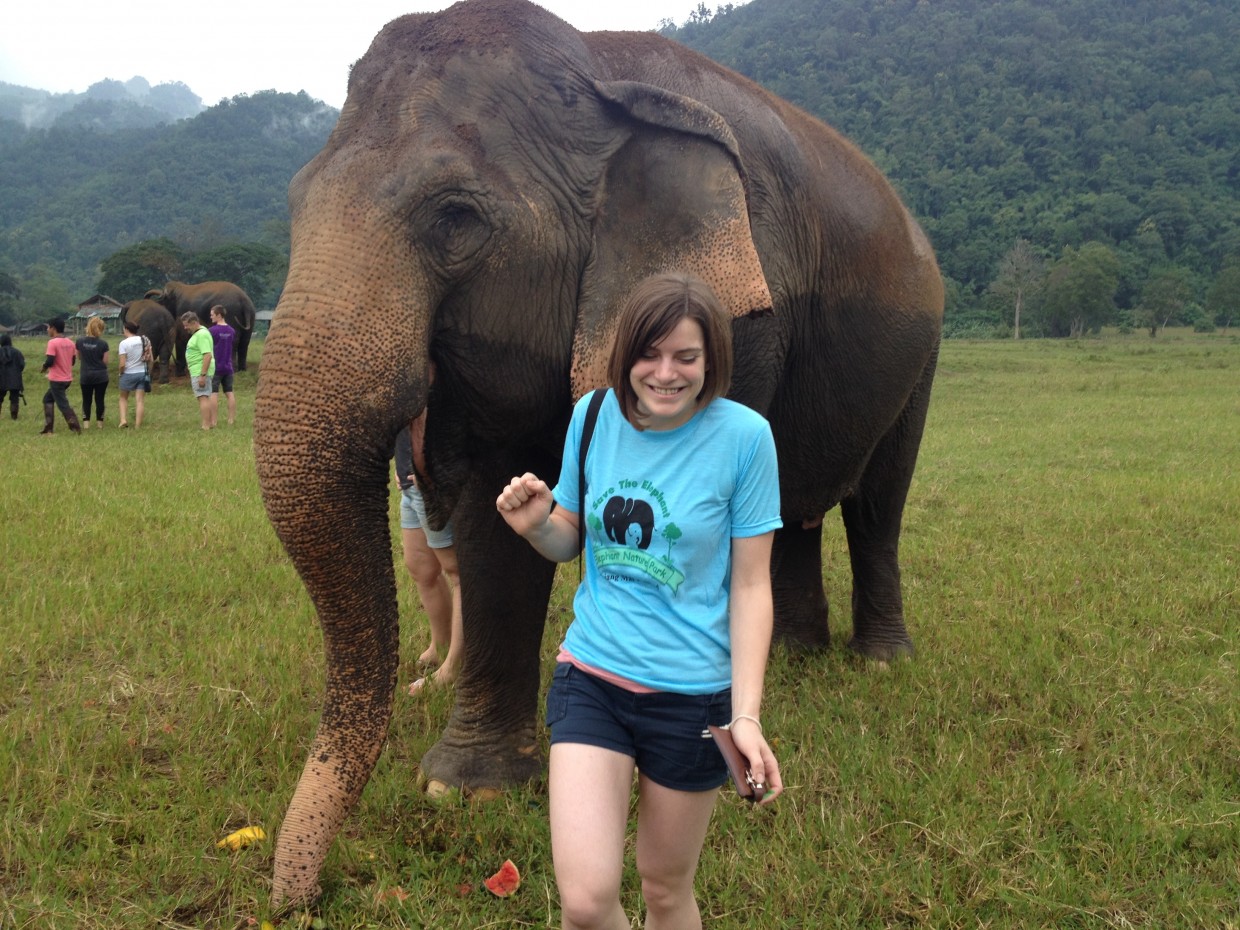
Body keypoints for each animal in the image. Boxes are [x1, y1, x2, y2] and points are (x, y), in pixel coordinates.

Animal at [256, 0, 942, 912]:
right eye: (294, 203)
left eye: (455, 216)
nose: (301, 899)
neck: (595, 68)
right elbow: (496, 514)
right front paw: (465, 789)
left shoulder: (744, 309)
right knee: (792, 512)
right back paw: (796, 659)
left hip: (923, 350)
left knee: (875, 503)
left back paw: (877, 665)